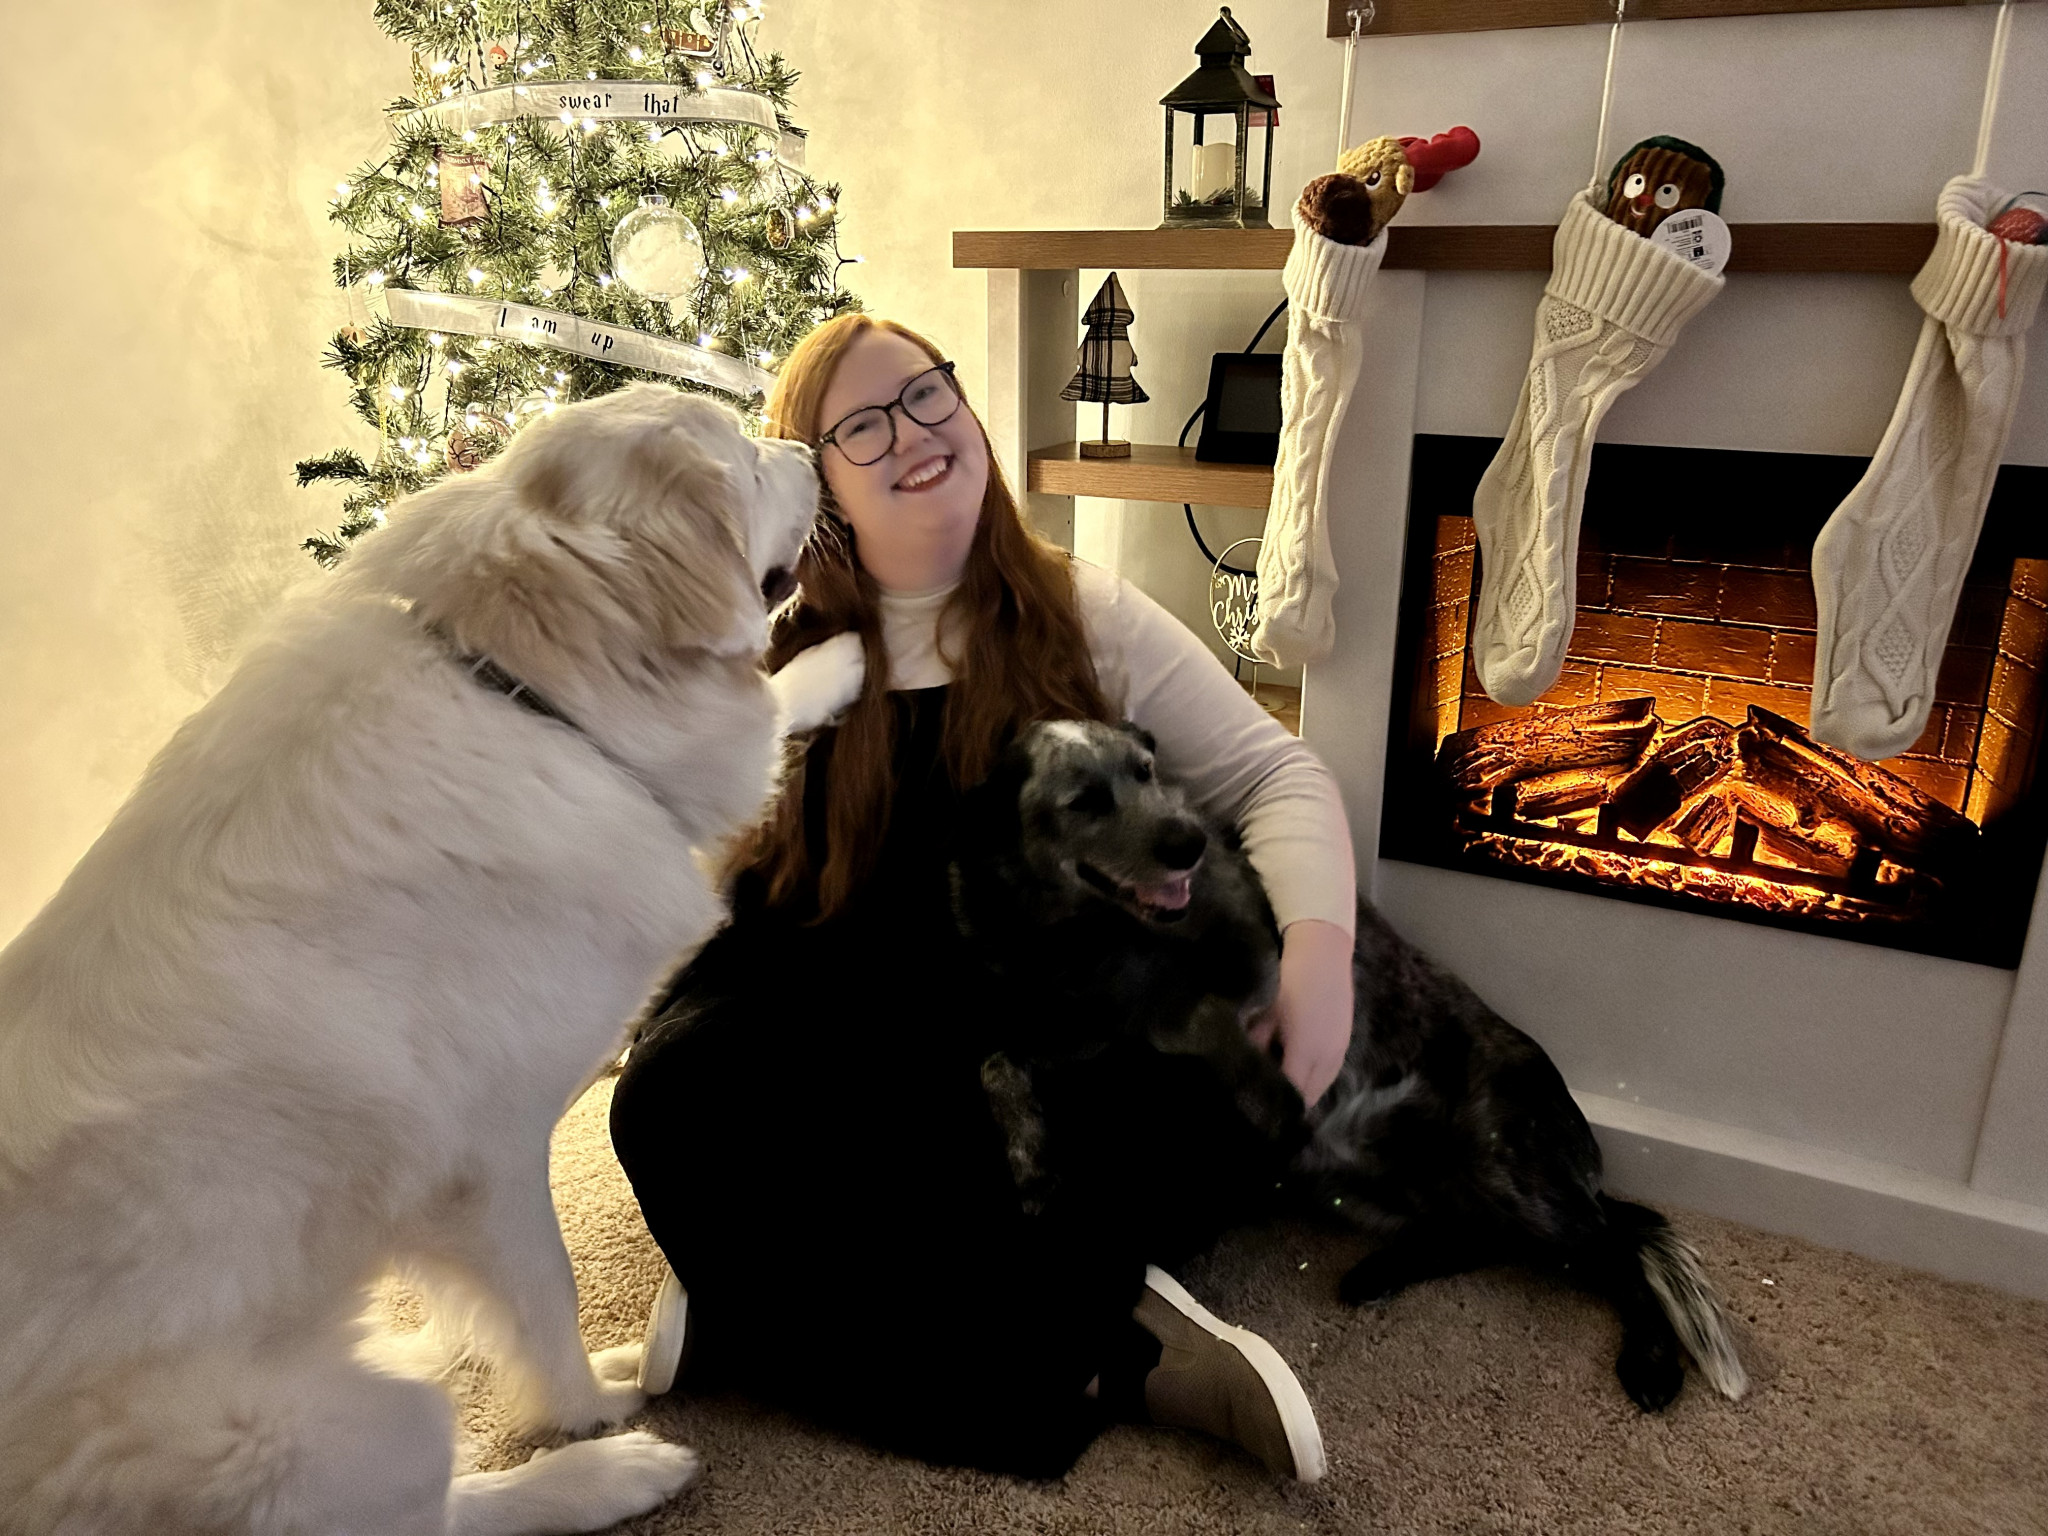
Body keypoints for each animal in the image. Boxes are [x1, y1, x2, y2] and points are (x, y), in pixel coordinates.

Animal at [0, 384, 862, 1534]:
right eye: (744, 460)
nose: (808, 447)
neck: (516, 692)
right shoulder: (492, 1156)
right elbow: (547, 1297)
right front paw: (594, 1404)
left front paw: (839, 665)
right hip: (332, 1431)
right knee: (441, 1511)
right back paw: (605, 1473)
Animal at [952, 718, 1747, 1412]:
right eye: (1084, 800)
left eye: (1147, 772)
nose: (1188, 843)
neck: (1081, 937)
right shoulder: (1089, 1032)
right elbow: (998, 1060)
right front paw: (1030, 1162)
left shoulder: (1252, 970)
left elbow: (1200, 1012)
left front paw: (1267, 1093)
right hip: (1369, 1188)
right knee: (1482, 1237)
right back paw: (1383, 1270)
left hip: (1510, 1167)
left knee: (1621, 1255)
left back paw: (1651, 1361)